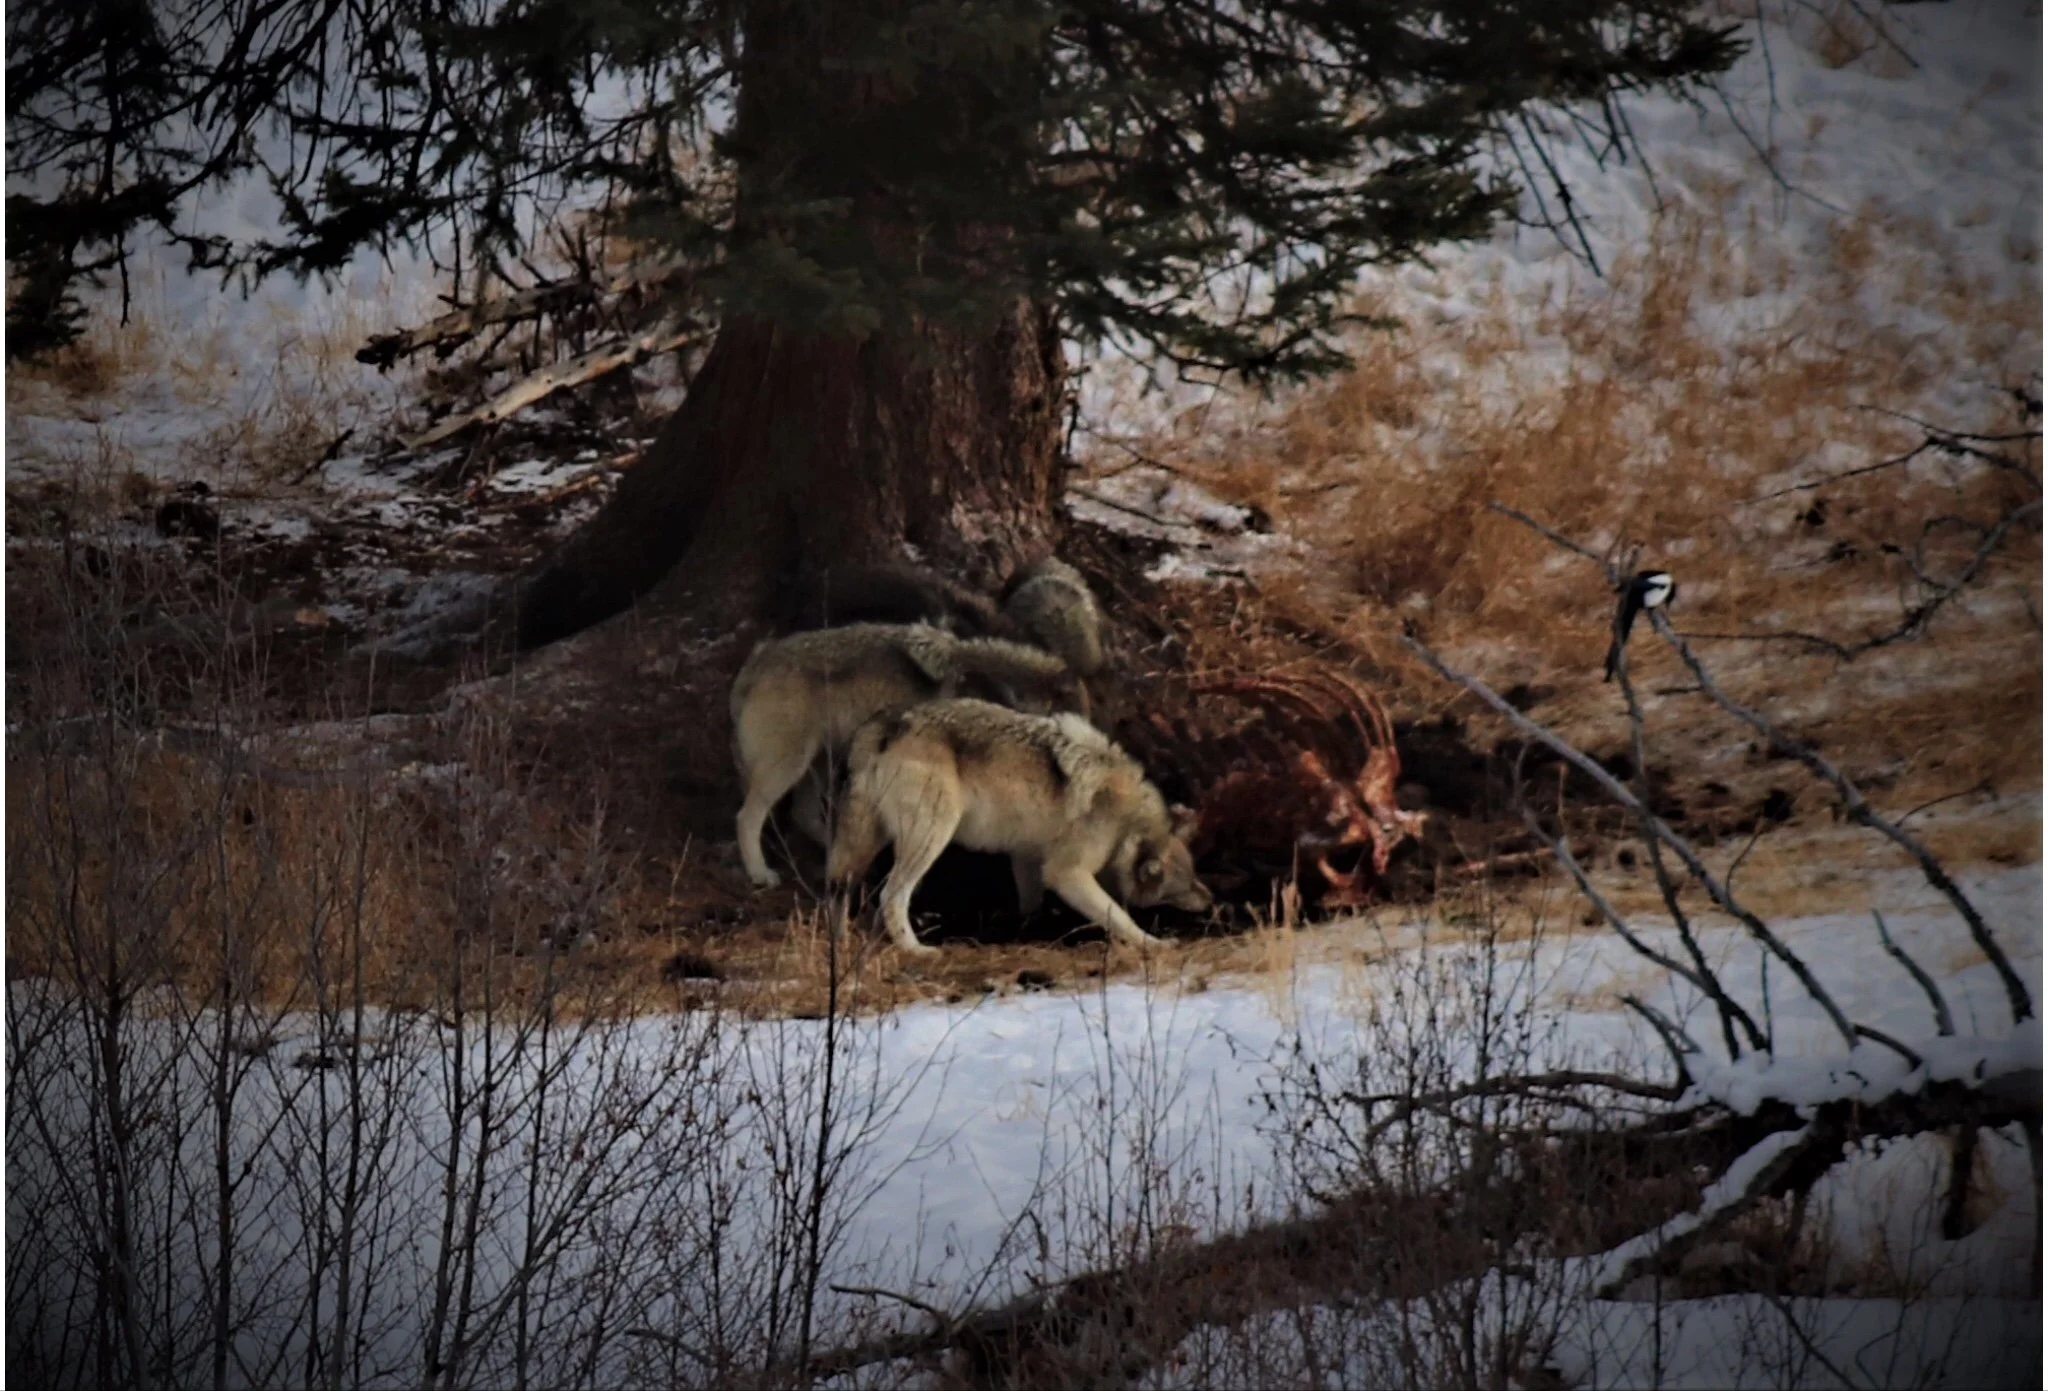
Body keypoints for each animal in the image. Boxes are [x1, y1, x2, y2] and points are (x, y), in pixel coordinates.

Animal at [730, 624, 1078, 887]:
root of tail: (758, 659)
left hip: (816, 764)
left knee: (803, 816)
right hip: (788, 766)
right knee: (747, 817)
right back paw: (760, 874)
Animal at [826, 698, 1212, 953]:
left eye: (1196, 875)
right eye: (1182, 888)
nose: (1211, 900)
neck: (1126, 823)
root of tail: (883, 725)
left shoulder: (1025, 856)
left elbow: (1031, 905)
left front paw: (1028, 932)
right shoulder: (1066, 873)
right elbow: (1118, 916)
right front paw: (1154, 944)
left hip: (868, 844)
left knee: (839, 888)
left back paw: (841, 946)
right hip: (931, 838)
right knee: (891, 896)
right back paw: (916, 950)